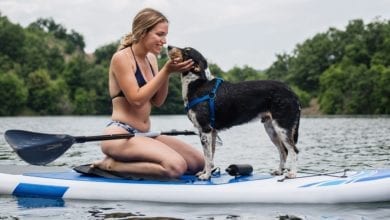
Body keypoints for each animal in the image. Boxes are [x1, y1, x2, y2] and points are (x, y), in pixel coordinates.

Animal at [168, 45, 302, 180]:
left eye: (187, 51)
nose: (168, 46)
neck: (198, 84)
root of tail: (292, 92)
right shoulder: (211, 132)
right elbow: (210, 157)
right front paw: (205, 172)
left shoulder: (205, 130)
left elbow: (207, 157)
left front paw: (206, 175)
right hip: (271, 129)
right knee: (283, 151)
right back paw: (279, 171)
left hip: (282, 128)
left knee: (293, 151)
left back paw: (292, 173)